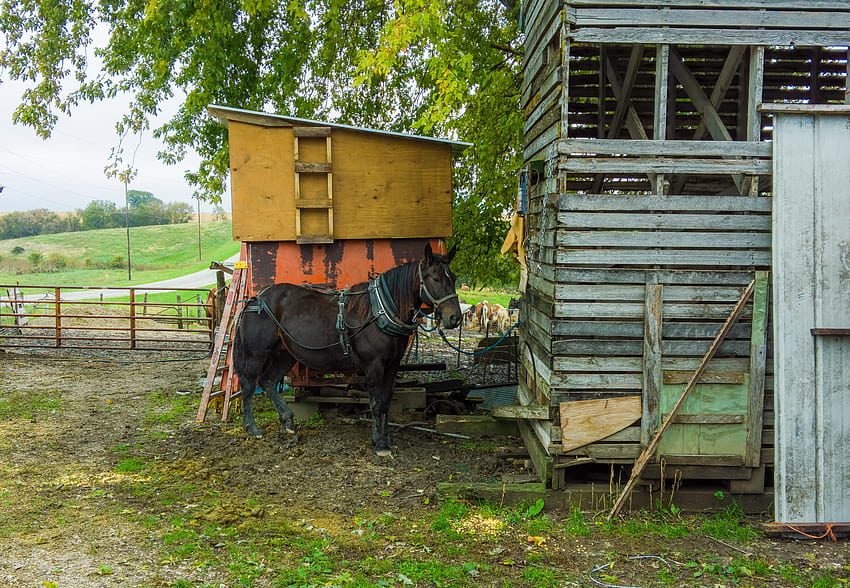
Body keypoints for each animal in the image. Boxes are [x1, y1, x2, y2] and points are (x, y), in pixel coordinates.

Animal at [230, 242, 458, 454]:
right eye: (435, 278)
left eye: (453, 278)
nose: (454, 317)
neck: (380, 311)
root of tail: (256, 299)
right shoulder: (374, 366)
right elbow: (376, 403)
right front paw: (380, 444)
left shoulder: (392, 366)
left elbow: (385, 402)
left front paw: (384, 438)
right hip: (256, 354)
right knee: (249, 385)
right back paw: (252, 428)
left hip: (284, 355)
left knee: (268, 382)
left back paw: (287, 422)